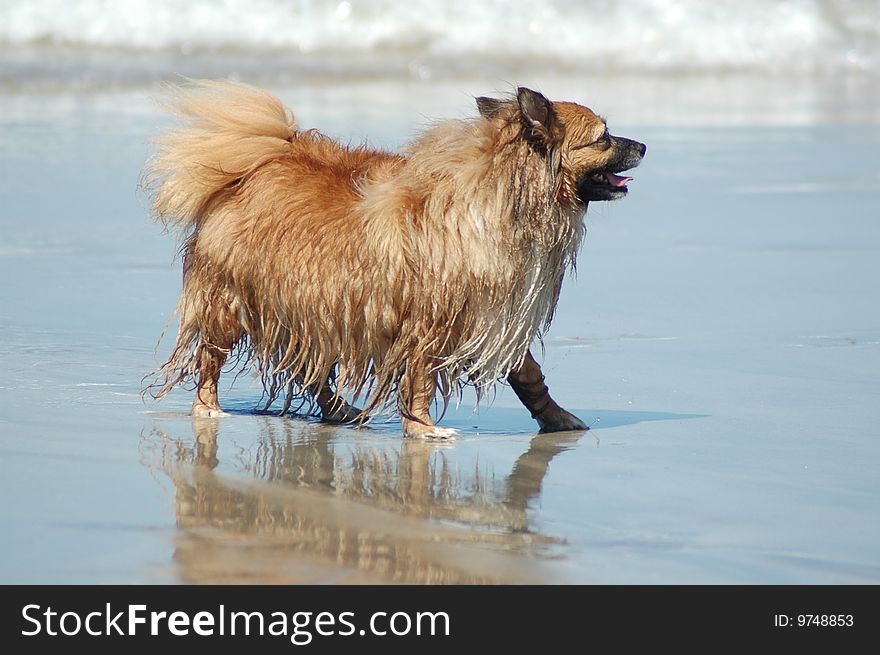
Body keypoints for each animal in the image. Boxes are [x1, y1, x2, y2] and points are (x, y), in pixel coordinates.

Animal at [141, 83, 644, 440]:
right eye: (603, 139)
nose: (642, 146)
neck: (502, 193)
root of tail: (254, 167)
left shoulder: (494, 313)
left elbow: (529, 374)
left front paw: (556, 418)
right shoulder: (431, 320)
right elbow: (420, 377)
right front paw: (423, 428)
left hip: (318, 306)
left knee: (310, 368)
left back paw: (338, 408)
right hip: (234, 299)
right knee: (211, 356)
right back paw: (208, 405)